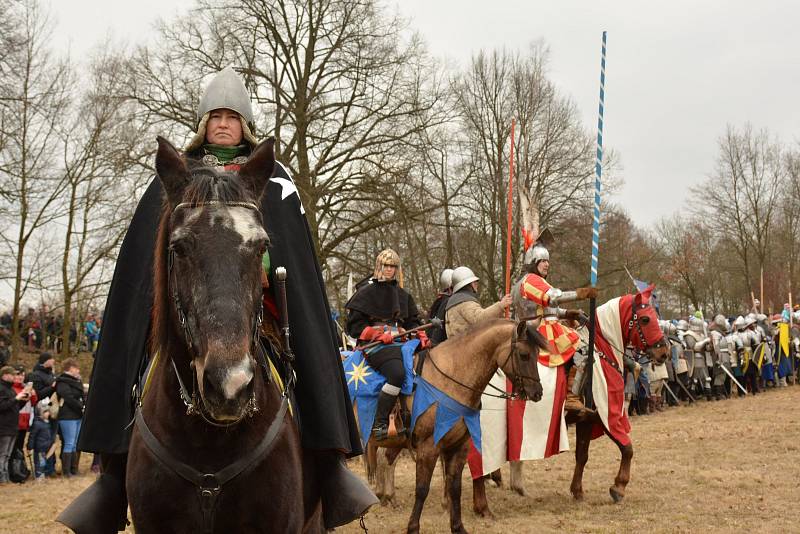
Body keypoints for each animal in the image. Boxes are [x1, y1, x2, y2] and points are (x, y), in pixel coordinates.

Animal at [368, 320, 552, 532]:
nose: (537, 392)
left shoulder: (458, 447)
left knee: (386, 459)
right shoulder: (428, 448)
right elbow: (422, 489)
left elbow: (455, 487)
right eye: (523, 355)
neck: (448, 380)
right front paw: (413, 528)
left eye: (537, 354)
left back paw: (387, 496)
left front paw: (457, 526)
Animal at [472, 288, 664, 520]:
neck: (602, 348)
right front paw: (618, 487)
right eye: (645, 319)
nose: (663, 352)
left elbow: (582, 455)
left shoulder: (587, 418)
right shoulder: (606, 414)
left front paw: (577, 490)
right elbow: (627, 448)